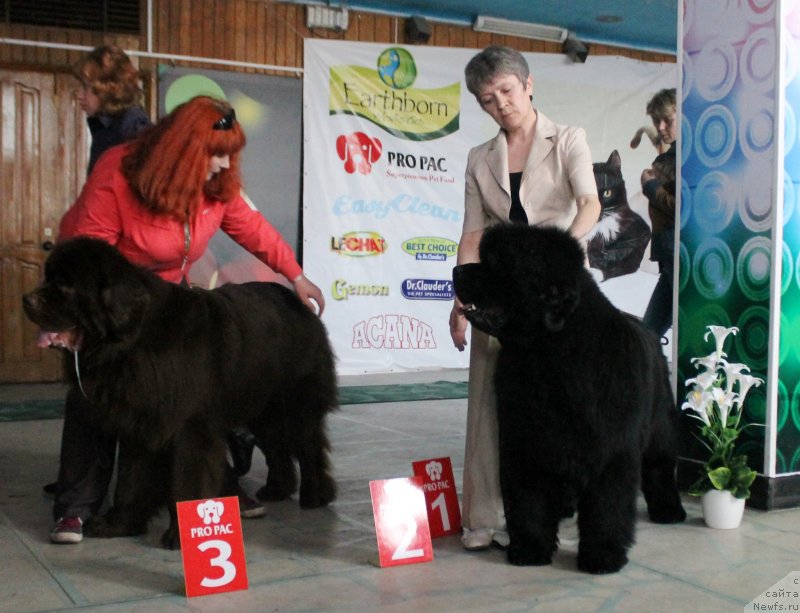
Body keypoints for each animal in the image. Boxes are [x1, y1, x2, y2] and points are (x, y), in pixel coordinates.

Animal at [24, 237, 338, 548]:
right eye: (48, 277)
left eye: (65, 285)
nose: (26, 300)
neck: (134, 340)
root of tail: (299, 302)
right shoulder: (138, 421)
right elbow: (130, 477)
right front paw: (120, 523)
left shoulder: (189, 427)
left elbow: (187, 480)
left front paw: (183, 536)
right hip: (262, 405)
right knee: (276, 446)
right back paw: (277, 489)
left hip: (295, 402)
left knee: (309, 445)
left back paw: (315, 495)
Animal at [454, 225, 684, 572]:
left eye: (496, 264)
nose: (456, 271)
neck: (551, 358)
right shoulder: (524, 445)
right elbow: (528, 502)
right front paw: (530, 549)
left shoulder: (611, 452)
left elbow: (607, 506)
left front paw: (602, 555)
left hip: (661, 429)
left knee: (660, 467)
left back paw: (669, 510)